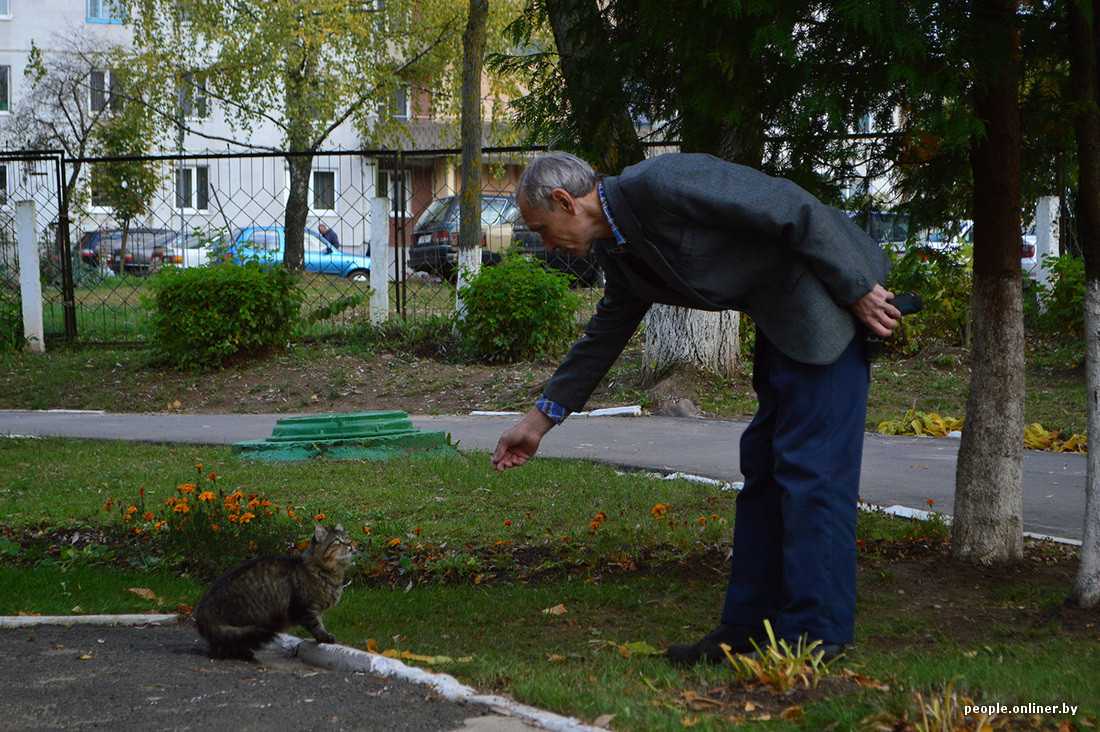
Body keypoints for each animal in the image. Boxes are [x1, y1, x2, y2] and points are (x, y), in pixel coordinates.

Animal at [193, 521, 356, 660]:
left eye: (348, 538)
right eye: (337, 541)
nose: (351, 545)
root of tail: (203, 610)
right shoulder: (305, 608)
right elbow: (316, 625)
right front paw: (325, 637)